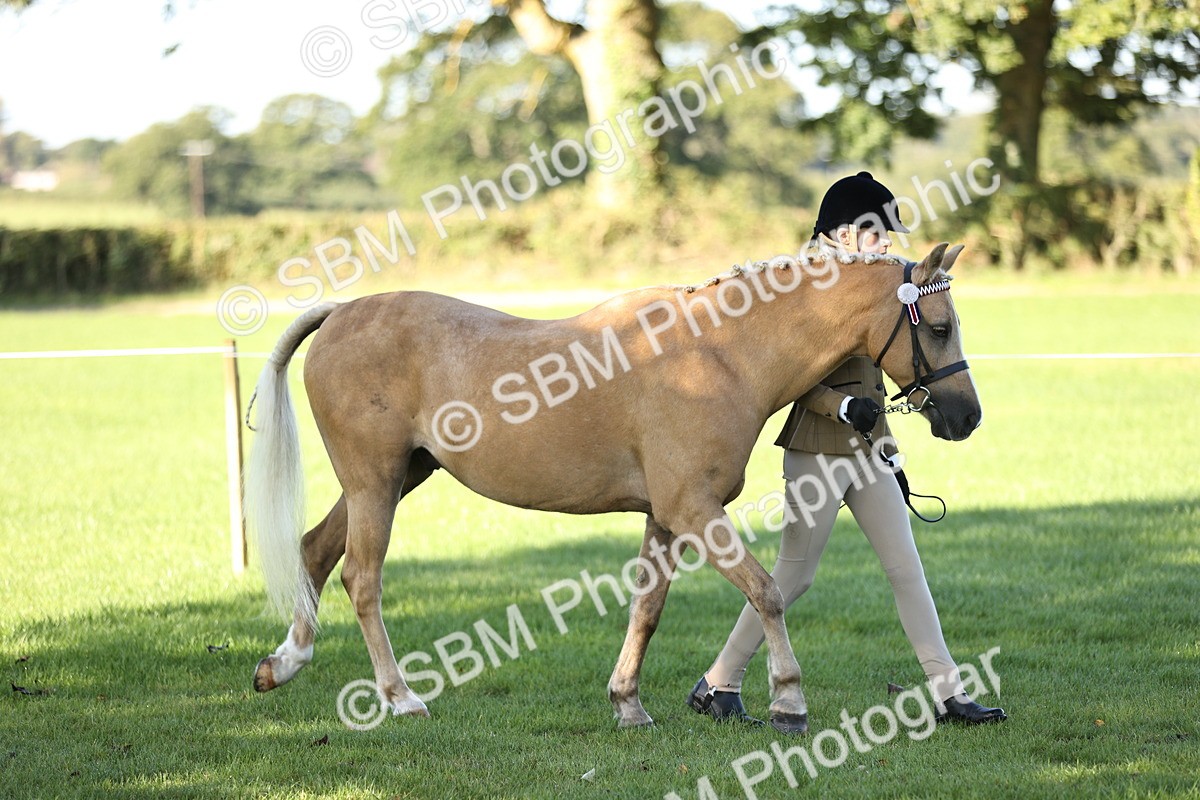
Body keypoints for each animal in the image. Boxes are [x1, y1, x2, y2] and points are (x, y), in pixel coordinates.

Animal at [244, 241, 980, 731]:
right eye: (941, 328)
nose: (966, 418)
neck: (718, 352)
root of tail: (341, 313)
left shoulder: (666, 517)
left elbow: (647, 609)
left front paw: (628, 703)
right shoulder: (694, 509)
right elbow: (768, 592)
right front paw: (789, 699)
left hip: (394, 478)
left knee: (314, 550)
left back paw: (284, 663)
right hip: (375, 483)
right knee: (361, 578)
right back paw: (399, 696)